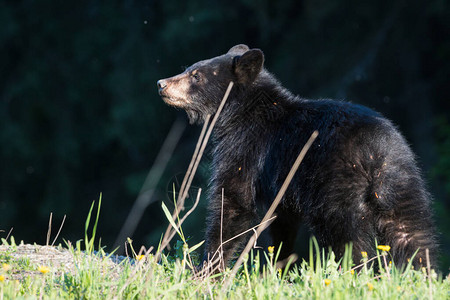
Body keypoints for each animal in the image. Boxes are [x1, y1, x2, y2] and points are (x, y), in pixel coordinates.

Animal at [157, 43, 436, 268]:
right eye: (189, 68)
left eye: (196, 75)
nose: (161, 84)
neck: (241, 111)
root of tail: (375, 150)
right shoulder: (281, 186)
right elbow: (282, 223)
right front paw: (280, 268)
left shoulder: (246, 147)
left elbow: (234, 200)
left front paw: (207, 268)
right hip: (403, 182)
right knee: (412, 234)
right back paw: (422, 274)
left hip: (336, 186)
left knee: (347, 237)